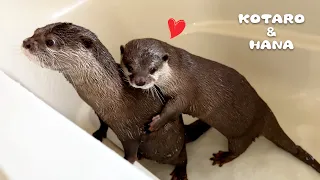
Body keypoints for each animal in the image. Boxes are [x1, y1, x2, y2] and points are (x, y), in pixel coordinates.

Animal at [21, 22, 211, 180]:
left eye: (50, 42)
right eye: (36, 30)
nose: (26, 43)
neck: (114, 97)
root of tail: (183, 130)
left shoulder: (130, 132)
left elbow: (131, 152)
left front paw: (127, 162)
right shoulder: (100, 113)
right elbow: (102, 123)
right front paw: (99, 133)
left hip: (172, 146)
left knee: (182, 157)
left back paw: (179, 172)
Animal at [119, 37, 320, 173]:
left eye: (153, 69)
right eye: (129, 66)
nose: (140, 81)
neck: (176, 74)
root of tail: (265, 111)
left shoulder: (185, 91)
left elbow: (173, 109)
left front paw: (156, 123)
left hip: (242, 133)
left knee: (240, 149)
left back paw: (223, 157)